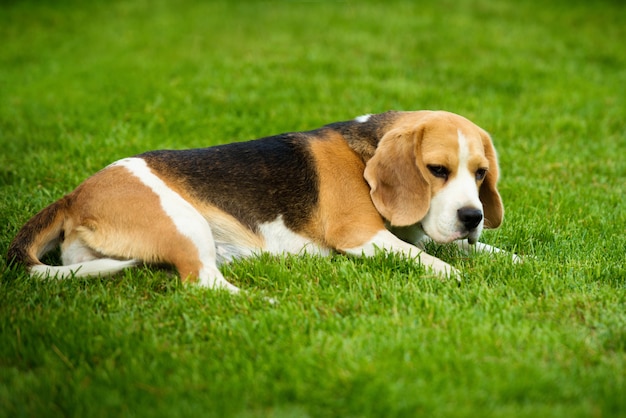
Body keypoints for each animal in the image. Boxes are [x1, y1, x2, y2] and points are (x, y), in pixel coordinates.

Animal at [8, 111, 508, 294]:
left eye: (480, 173)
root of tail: (74, 195)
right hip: (184, 221)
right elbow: (426, 257)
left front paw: (508, 256)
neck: (363, 151)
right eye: (437, 170)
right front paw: (453, 273)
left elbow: (472, 248)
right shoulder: (360, 234)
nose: (473, 216)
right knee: (203, 281)